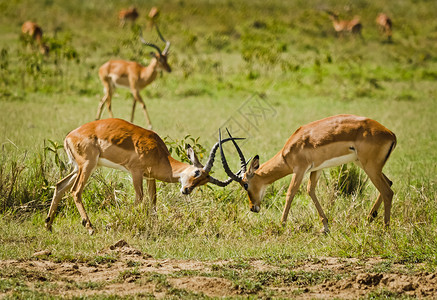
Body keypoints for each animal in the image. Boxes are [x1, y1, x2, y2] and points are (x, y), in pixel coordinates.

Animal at [45, 118, 242, 234]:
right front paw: (113, 225)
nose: (186, 190)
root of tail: (69, 136)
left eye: (202, 182)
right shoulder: (136, 173)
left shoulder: (150, 177)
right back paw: (90, 227)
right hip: (87, 166)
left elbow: (153, 201)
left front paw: (155, 226)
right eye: (196, 172)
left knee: (60, 186)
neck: (159, 153)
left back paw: (48, 225)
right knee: (75, 191)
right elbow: (139, 199)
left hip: (78, 168)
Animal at [221, 113, 396, 233]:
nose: (253, 208)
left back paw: (385, 229)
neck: (288, 151)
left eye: (245, 184)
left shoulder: (299, 169)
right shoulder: (316, 169)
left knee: (388, 191)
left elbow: (290, 193)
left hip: (370, 167)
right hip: (365, 165)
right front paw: (325, 226)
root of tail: (391, 134)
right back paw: (369, 218)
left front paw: (282, 225)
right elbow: (310, 190)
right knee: (389, 183)